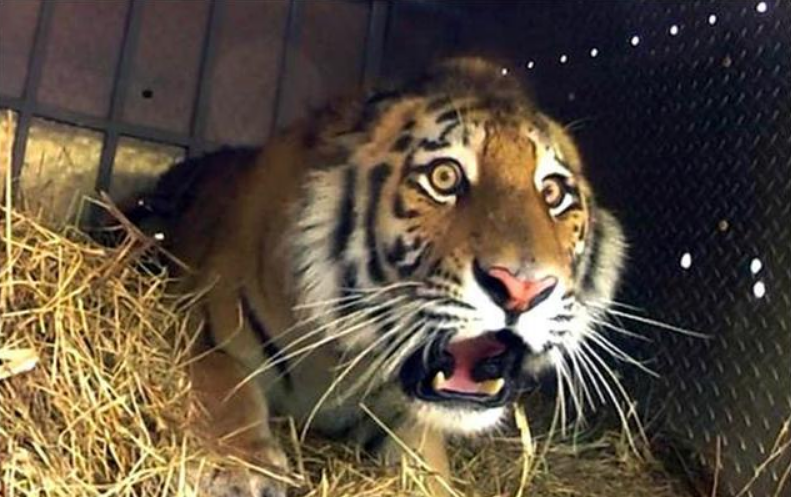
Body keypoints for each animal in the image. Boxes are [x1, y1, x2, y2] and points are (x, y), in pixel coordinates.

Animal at [122, 57, 626, 496]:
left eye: (554, 194)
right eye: (444, 178)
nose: (523, 289)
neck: (338, 359)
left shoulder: (406, 417)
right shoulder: (198, 329)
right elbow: (225, 386)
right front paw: (240, 472)